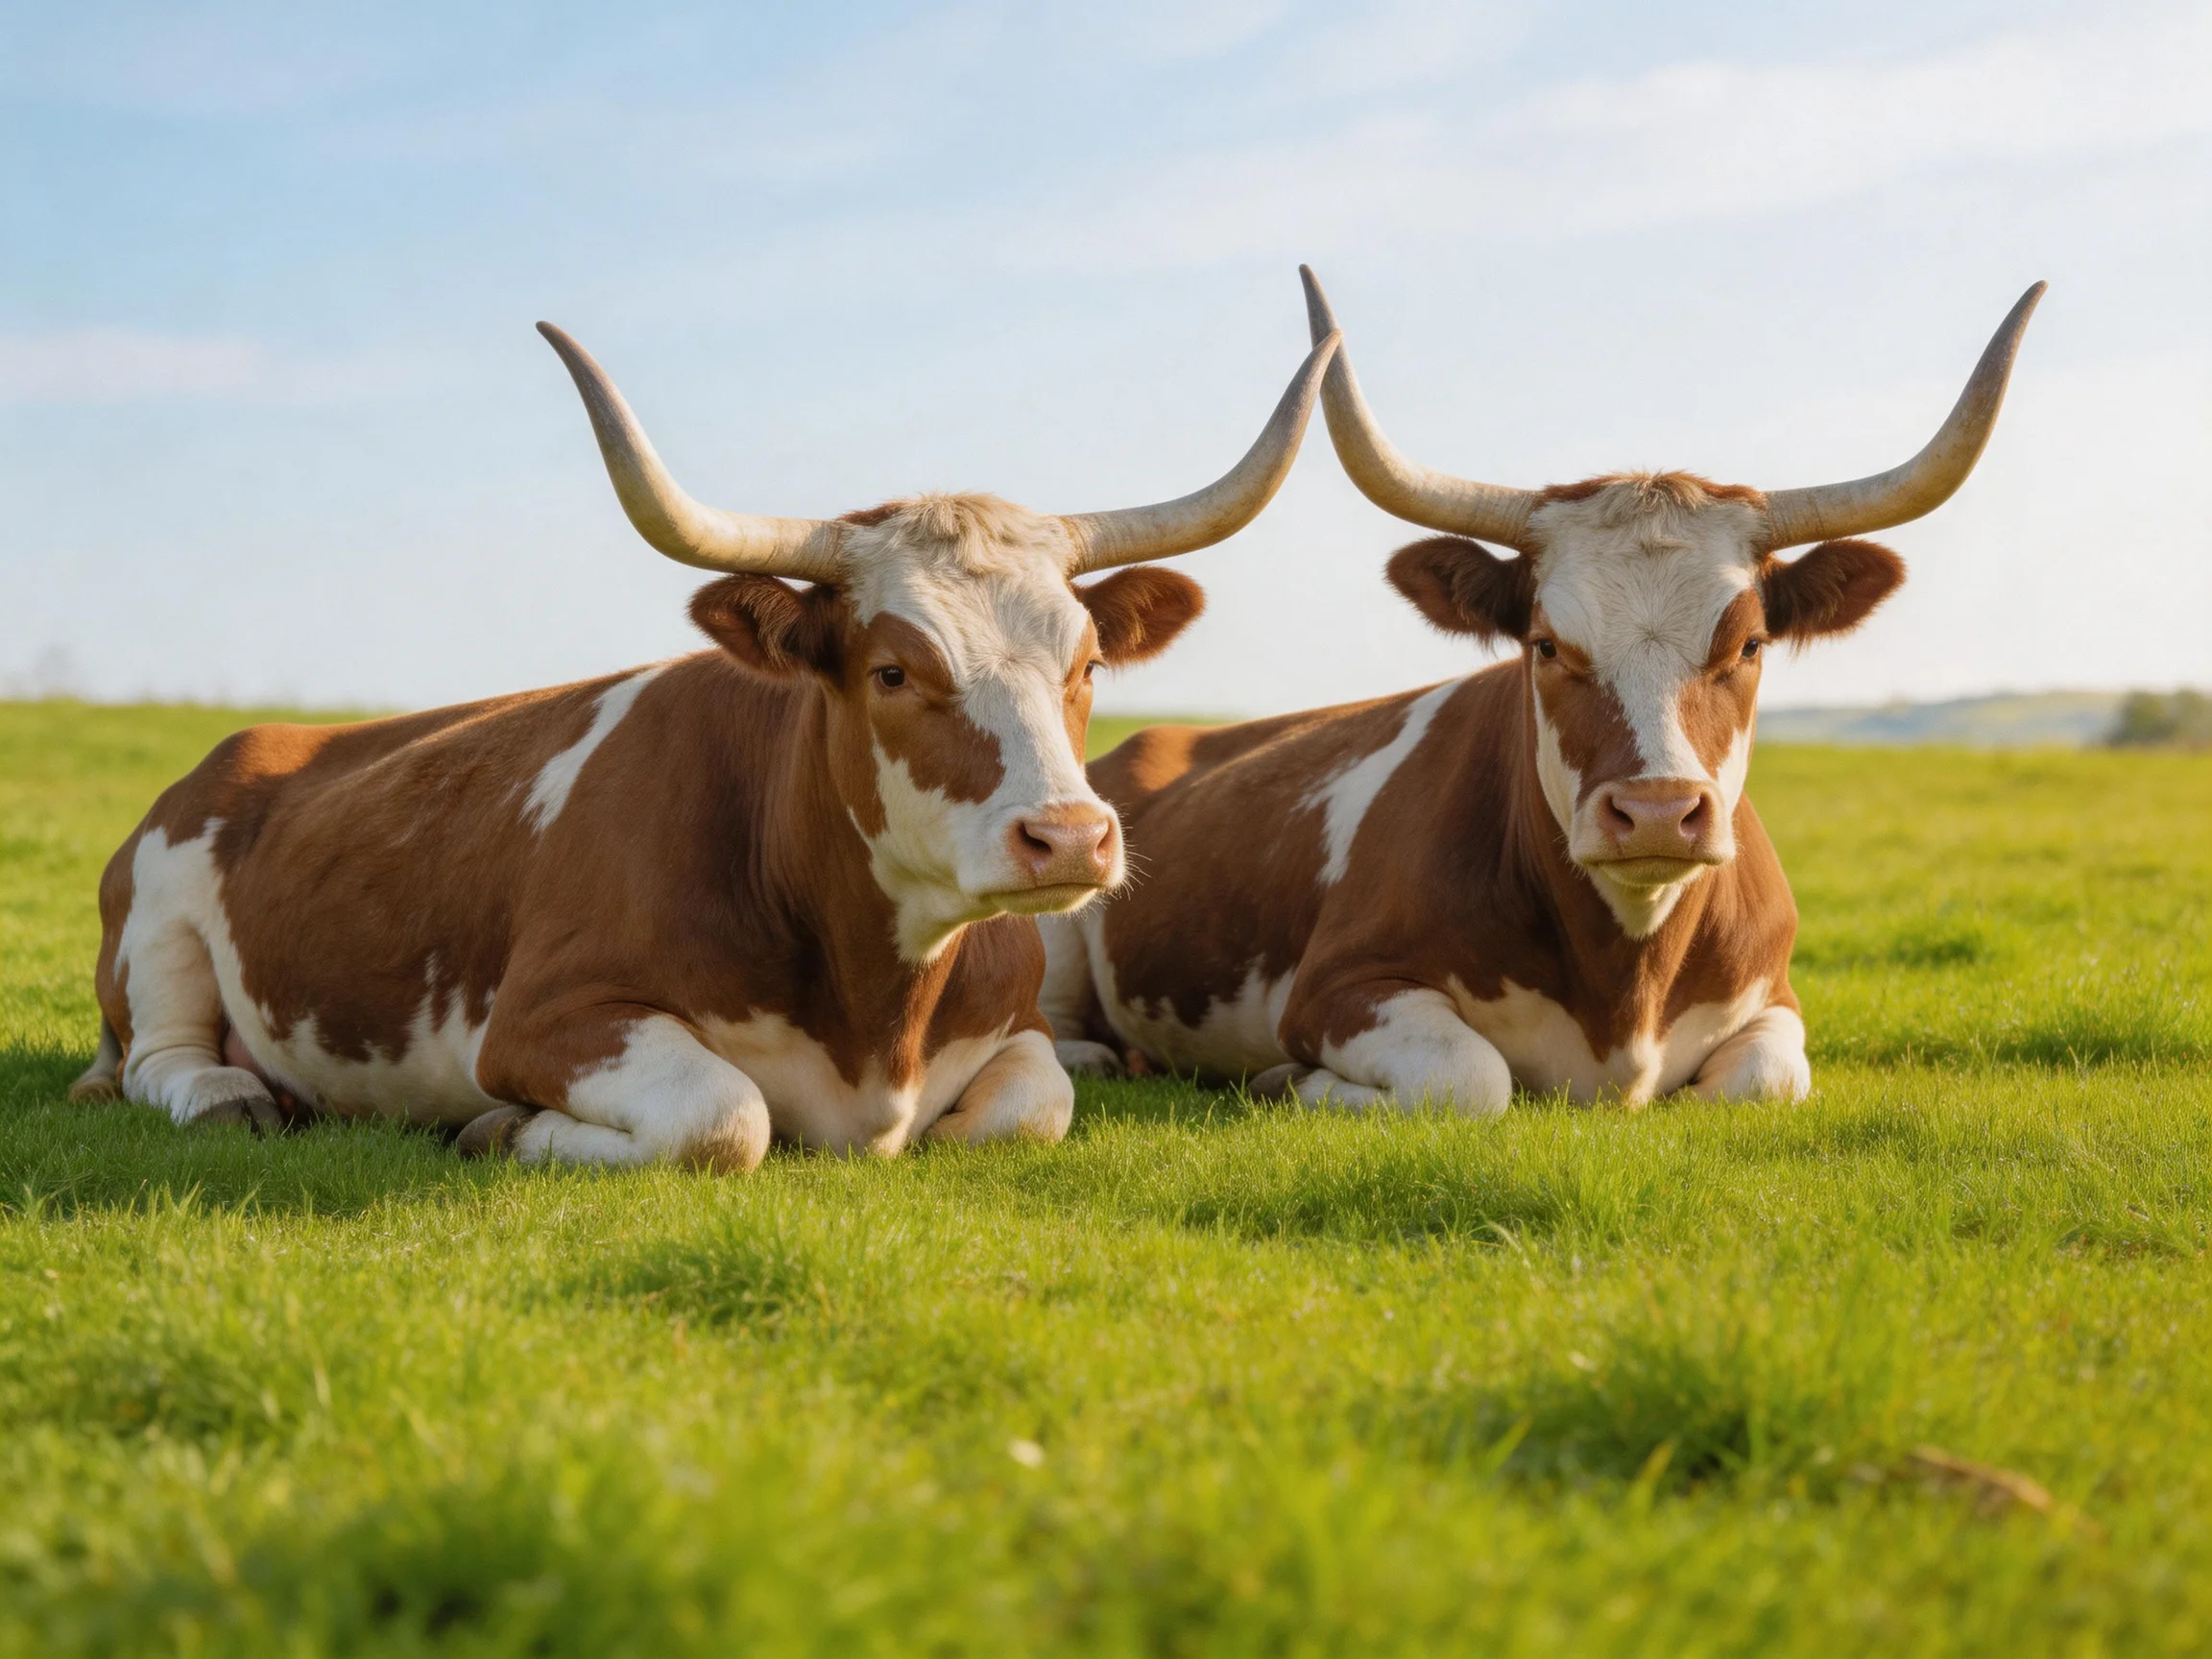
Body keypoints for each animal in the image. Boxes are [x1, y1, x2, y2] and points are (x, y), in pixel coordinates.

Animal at [69, 318, 1343, 1168]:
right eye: (892, 670)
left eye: (1086, 668)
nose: (1070, 839)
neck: (875, 1011)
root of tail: (267, 741)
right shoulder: (550, 1017)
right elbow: (723, 1118)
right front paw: (505, 1129)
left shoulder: (1020, 1028)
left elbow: (1027, 1114)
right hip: (159, 922)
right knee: (163, 1060)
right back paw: (238, 1098)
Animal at [1041, 268, 2042, 1113]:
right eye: (1547, 645)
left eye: (1751, 642)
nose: (1656, 812)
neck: (1626, 987)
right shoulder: (1340, 988)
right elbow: (1468, 1079)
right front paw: (1292, 1080)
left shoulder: (1777, 1001)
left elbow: (1760, 1083)